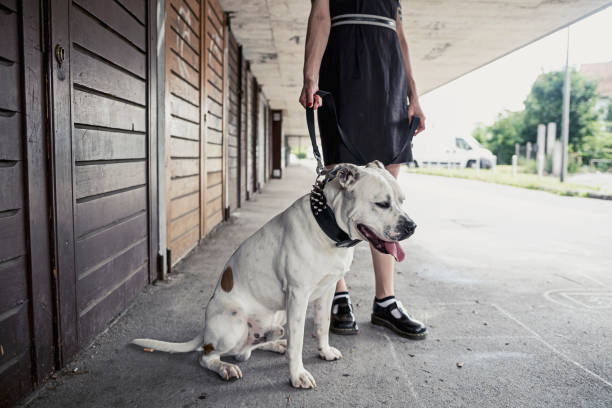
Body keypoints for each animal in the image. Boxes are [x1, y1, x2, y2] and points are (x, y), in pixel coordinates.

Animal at [133, 160, 416, 388]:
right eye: (382, 204)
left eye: (403, 200)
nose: (412, 226)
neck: (327, 227)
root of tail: (205, 331)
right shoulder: (298, 296)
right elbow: (299, 341)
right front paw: (297, 375)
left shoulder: (326, 291)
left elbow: (322, 325)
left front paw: (323, 351)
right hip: (234, 323)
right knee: (207, 355)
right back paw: (225, 366)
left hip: (277, 314)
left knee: (247, 349)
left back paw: (274, 341)